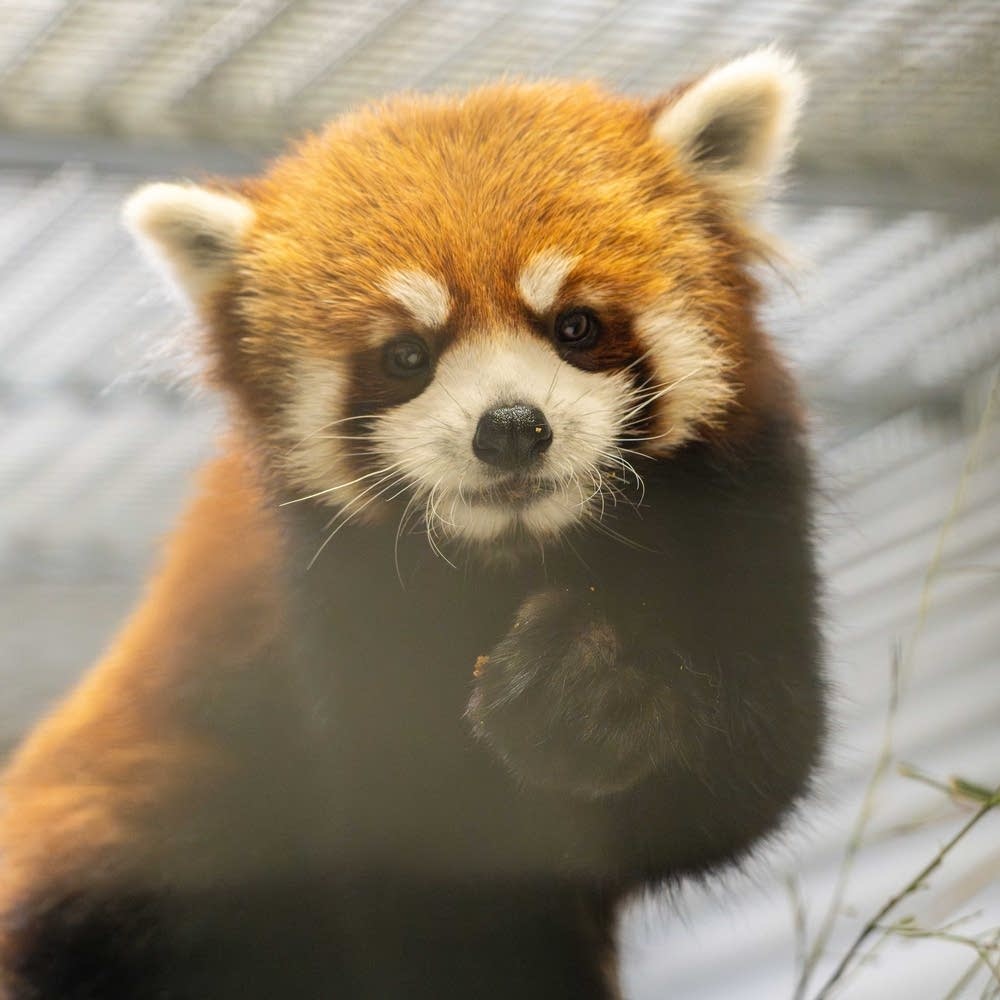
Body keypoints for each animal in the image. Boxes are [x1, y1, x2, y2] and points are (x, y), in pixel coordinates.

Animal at [0, 48, 824, 999]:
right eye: (406, 356)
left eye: (576, 325)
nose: (511, 427)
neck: (516, 557)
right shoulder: (330, 608)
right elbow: (422, 864)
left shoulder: (744, 508)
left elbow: (746, 769)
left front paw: (599, 683)